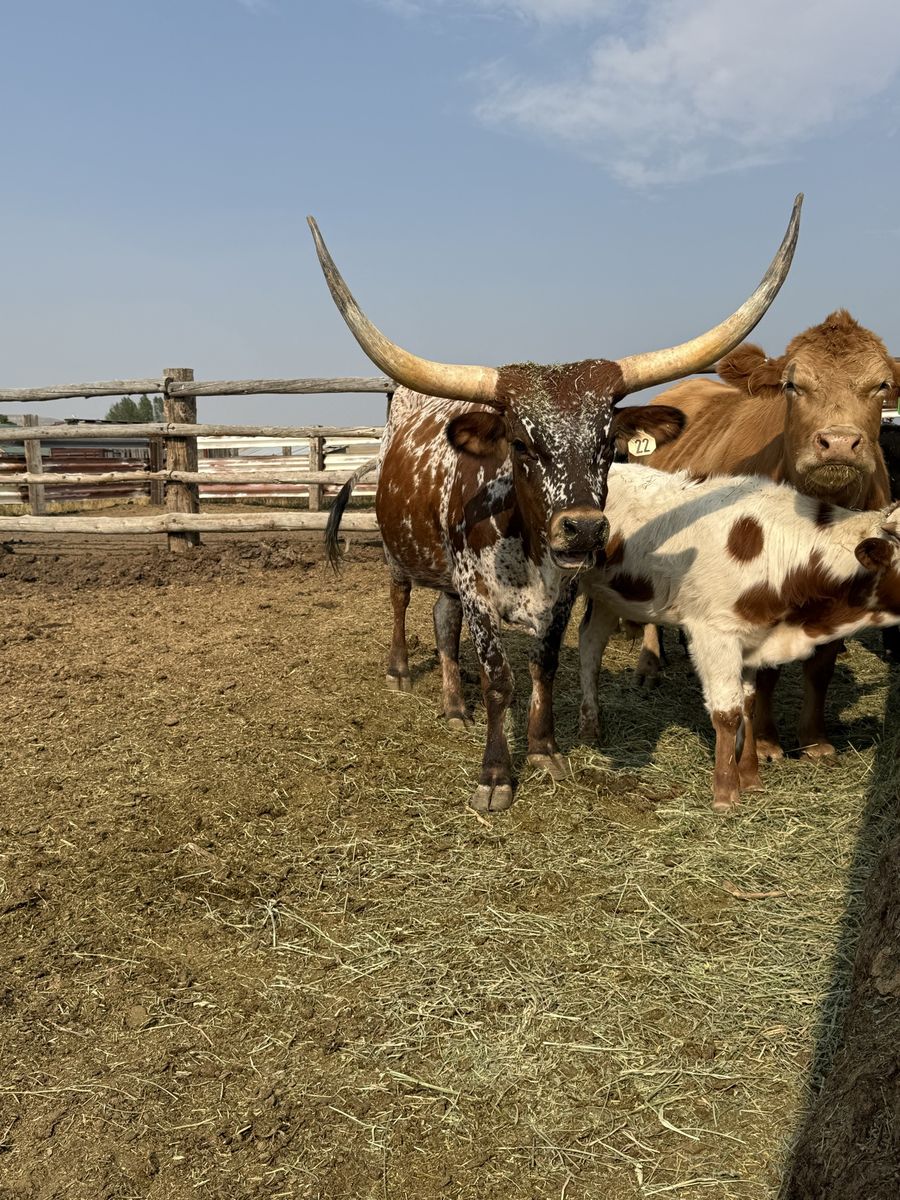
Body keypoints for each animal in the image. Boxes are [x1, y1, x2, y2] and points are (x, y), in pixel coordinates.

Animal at [311, 199, 801, 811]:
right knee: (402, 598)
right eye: (521, 443)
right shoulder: (479, 596)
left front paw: (544, 750)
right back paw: (401, 669)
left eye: (608, 442)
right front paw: (496, 775)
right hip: (396, 548)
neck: (522, 543)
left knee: (443, 622)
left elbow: (543, 668)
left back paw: (453, 703)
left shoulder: (561, 596)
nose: (584, 529)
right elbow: (500, 680)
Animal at [578, 464, 900, 810]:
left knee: (590, 642)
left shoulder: (752, 638)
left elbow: (748, 704)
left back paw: (591, 726)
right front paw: (725, 792)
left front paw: (750, 778)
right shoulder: (714, 634)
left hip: (608, 596)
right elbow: (727, 712)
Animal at [630, 310, 900, 761]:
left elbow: (821, 667)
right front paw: (768, 742)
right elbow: (766, 673)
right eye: (793, 385)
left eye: (882, 386)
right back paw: (650, 665)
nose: (838, 443)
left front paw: (814, 740)